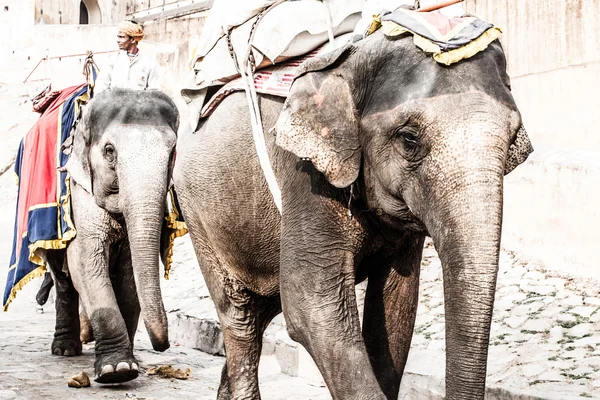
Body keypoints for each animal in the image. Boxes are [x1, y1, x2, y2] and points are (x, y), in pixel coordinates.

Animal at [45, 88, 179, 384]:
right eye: (109, 151)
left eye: (172, 151)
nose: (163, 346)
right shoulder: (80, 193)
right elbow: (86, 265)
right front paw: (116, 371)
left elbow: (129, 278)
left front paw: (129, 364)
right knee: (63, 279)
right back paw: (65, 349)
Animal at [175, 28, 536, 400]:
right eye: (409, 139)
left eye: (512, 139)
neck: (355, 56)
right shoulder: (305, 174)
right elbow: (311, 304)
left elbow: (396, 305)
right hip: (198, 214)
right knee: (239, 314)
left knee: (263, 308)